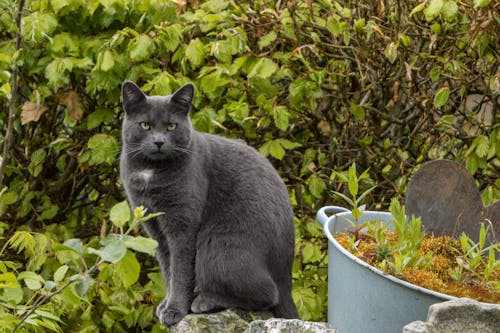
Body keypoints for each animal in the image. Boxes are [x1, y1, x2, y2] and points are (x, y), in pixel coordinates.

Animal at [119, 80, 298, 324]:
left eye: (171, 126)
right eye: (145, 125)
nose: (158, 141)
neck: (151, 170)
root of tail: (286, 276)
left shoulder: (183, 225)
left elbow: (180, 270)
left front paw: (175, 309)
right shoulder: (155, 227)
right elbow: (167, 267)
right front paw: (166, 305)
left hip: (218, 246)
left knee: (268, 294)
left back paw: (205, 301)